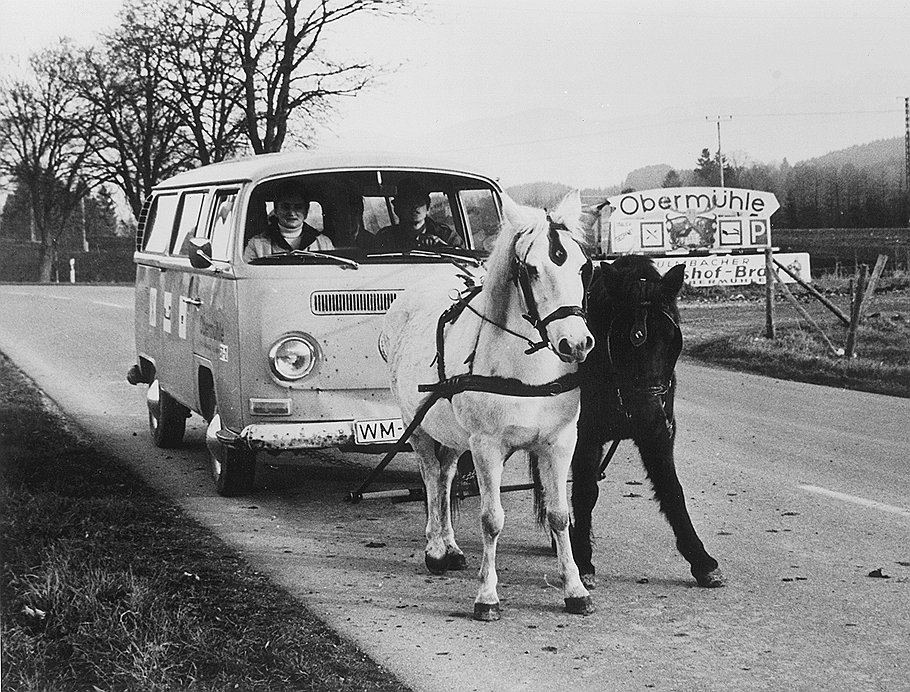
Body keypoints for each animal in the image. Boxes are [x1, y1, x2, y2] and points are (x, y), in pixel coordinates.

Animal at [382, 191, 600, 620]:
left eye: (584, 267)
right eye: (531, 270)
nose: (576, 343)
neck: (528, 372)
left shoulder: (560, 442)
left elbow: (559, 515)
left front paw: (575, 589)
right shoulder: (486, 446)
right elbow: (491, 519)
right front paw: (487, 595)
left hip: (452, 435)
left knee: (446, 478)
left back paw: (450, 547)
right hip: (418, 427)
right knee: (431, 478)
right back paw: (435, 549)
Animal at [568, 255, 728, 588]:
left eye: (670, 338)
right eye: (619, 338)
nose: (647, 414)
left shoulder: (658, 437)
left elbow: (672, 491)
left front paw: (702, 560)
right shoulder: (585, 435)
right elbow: (586, 492)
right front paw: (583, 559)